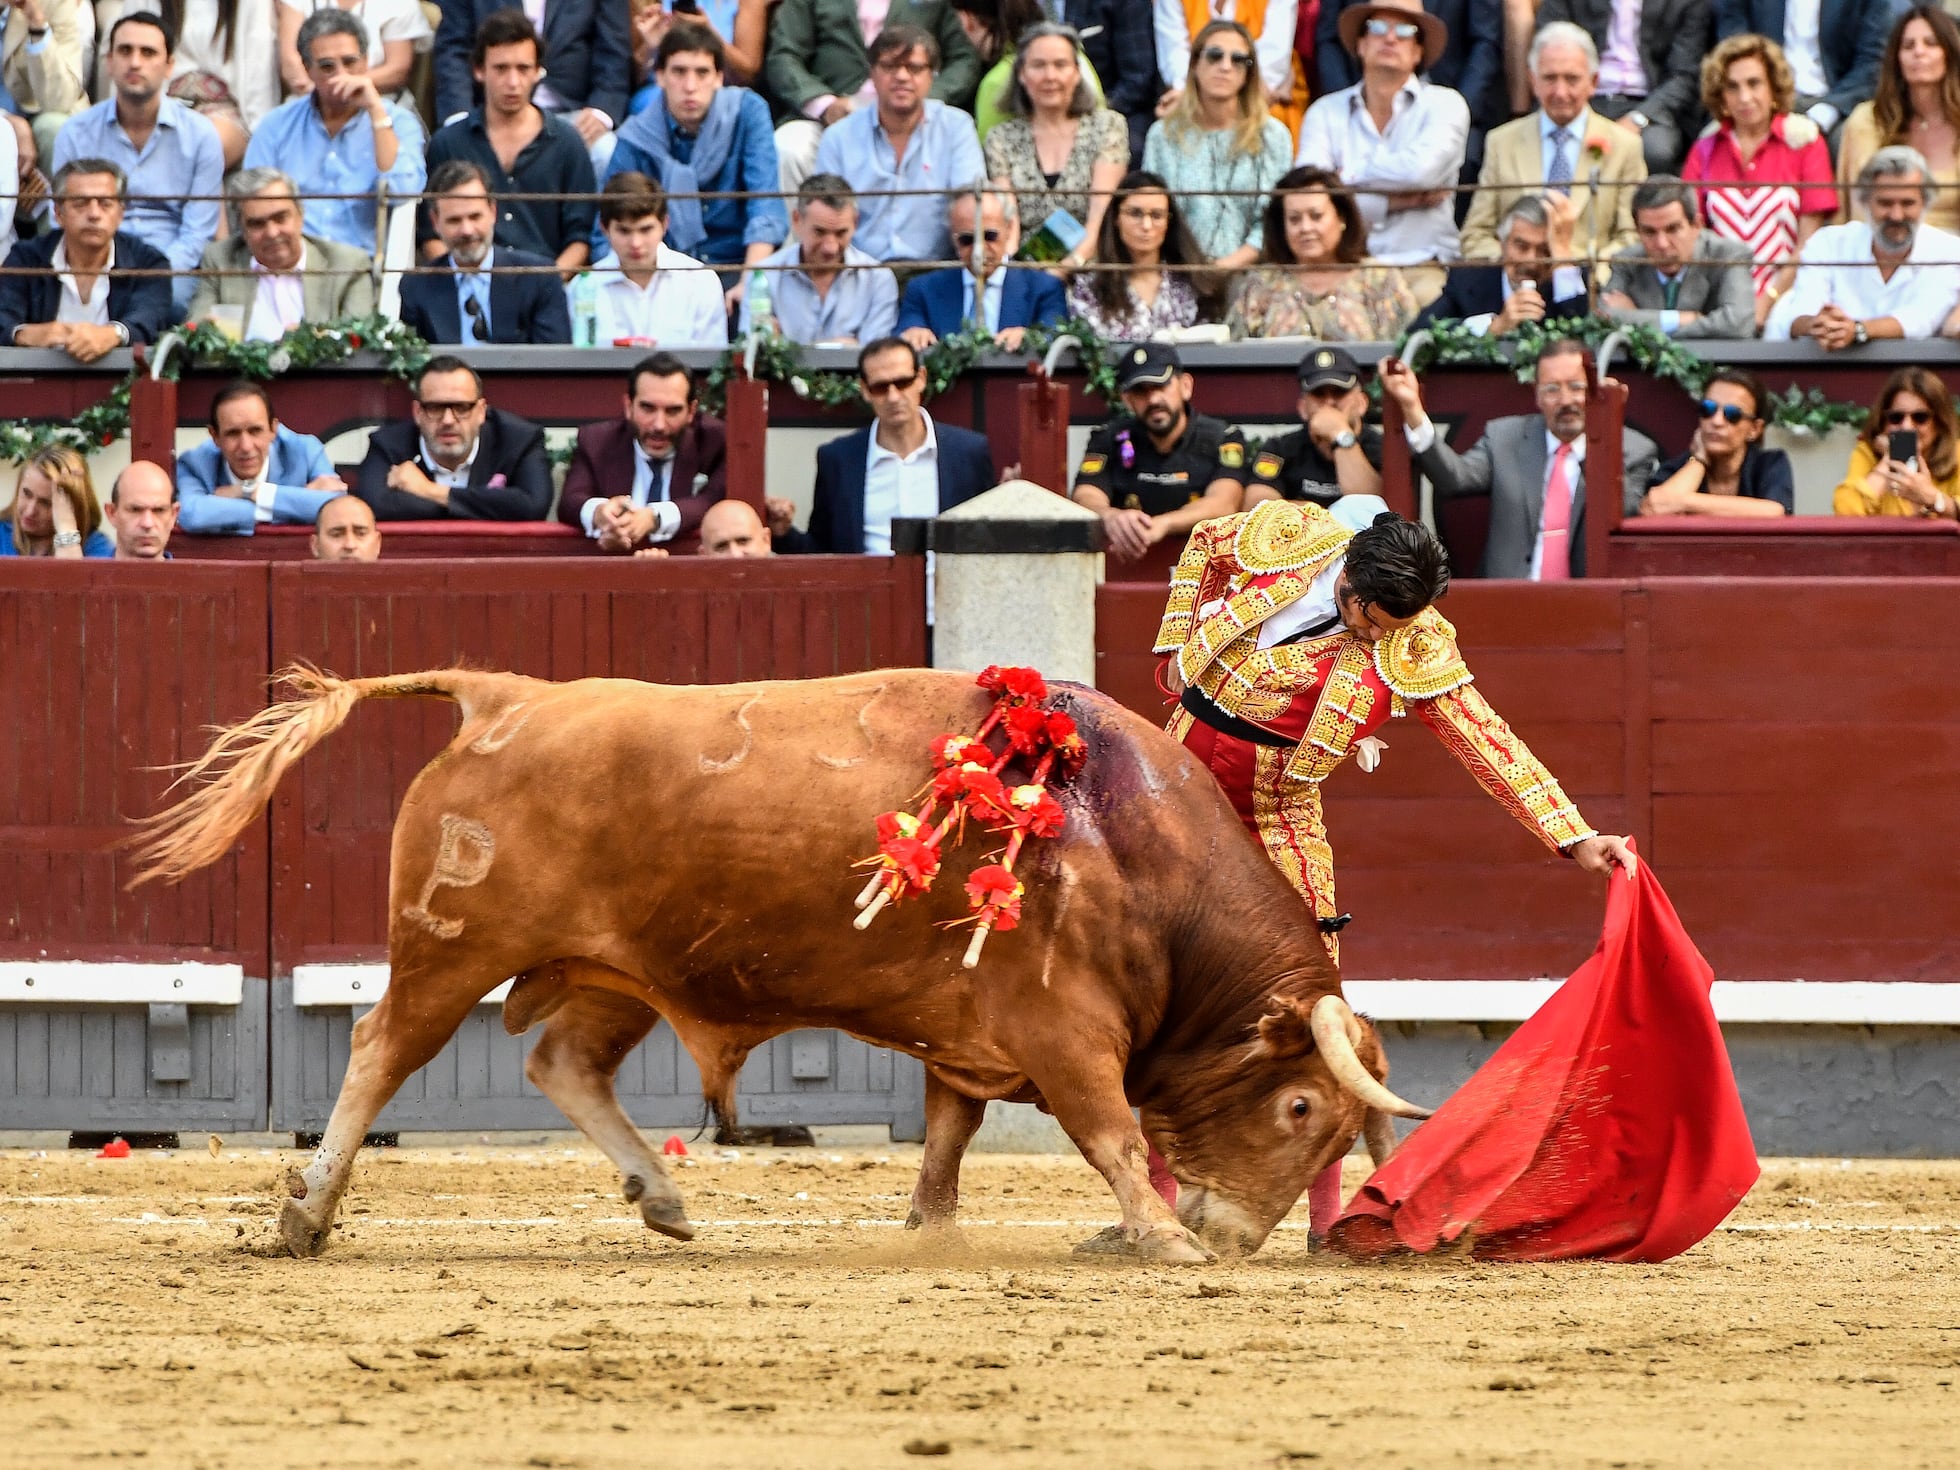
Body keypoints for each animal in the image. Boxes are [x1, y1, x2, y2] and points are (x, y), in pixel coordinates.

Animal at [134, 666, 1426, 1270]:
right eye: (1298, 1106)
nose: (1233, 1237)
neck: (1121, 837)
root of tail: (510, 697)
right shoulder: (1064, 1034)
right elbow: (1106, 1132)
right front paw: (1158, 1239)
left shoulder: (973, 1032)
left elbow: (949, 1132)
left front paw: (930, 1230)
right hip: (453, 949)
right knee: (380, 1051)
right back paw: (305, 1213)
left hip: (613, 971)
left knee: (562, 1062)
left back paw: (660, 1198)